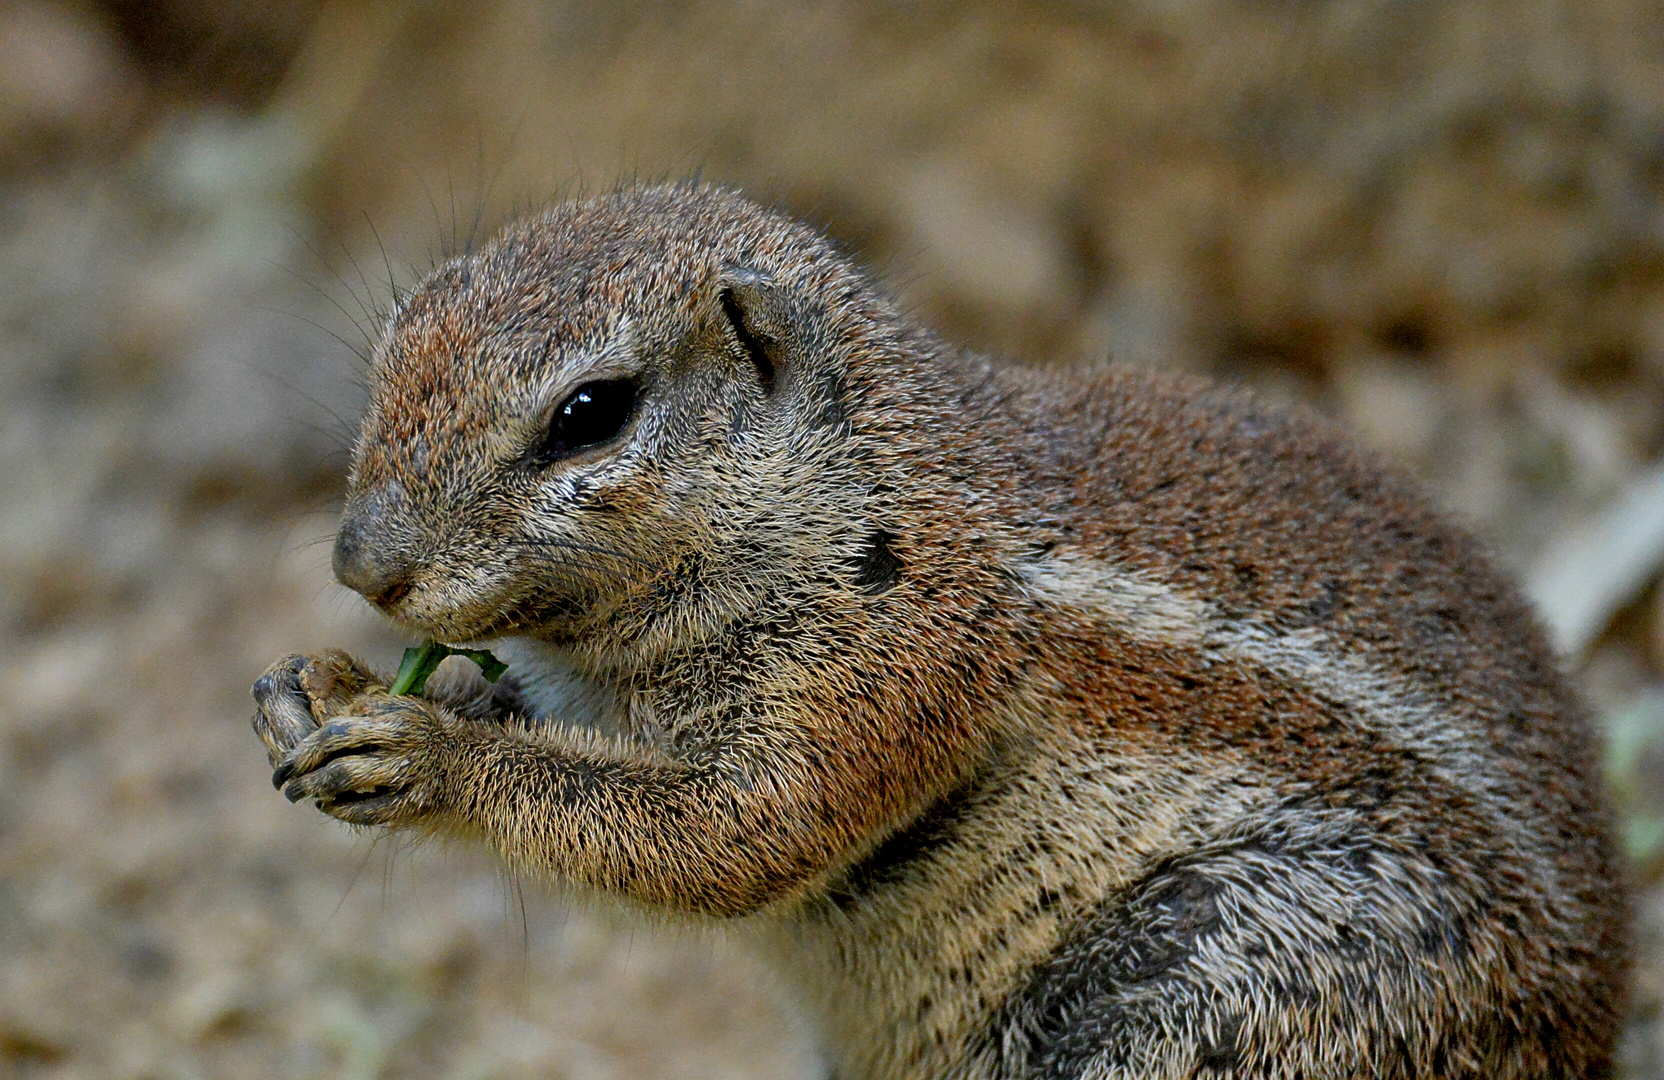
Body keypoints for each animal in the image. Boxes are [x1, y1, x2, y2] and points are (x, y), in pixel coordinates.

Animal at [252, 183, 1630, 1071]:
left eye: (590, 413)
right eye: (396, 339)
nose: (360, 565)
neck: (851, 493)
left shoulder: (897, 660)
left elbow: (731, 834)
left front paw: (425, 755)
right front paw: (319, 684)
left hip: (1233, 987)